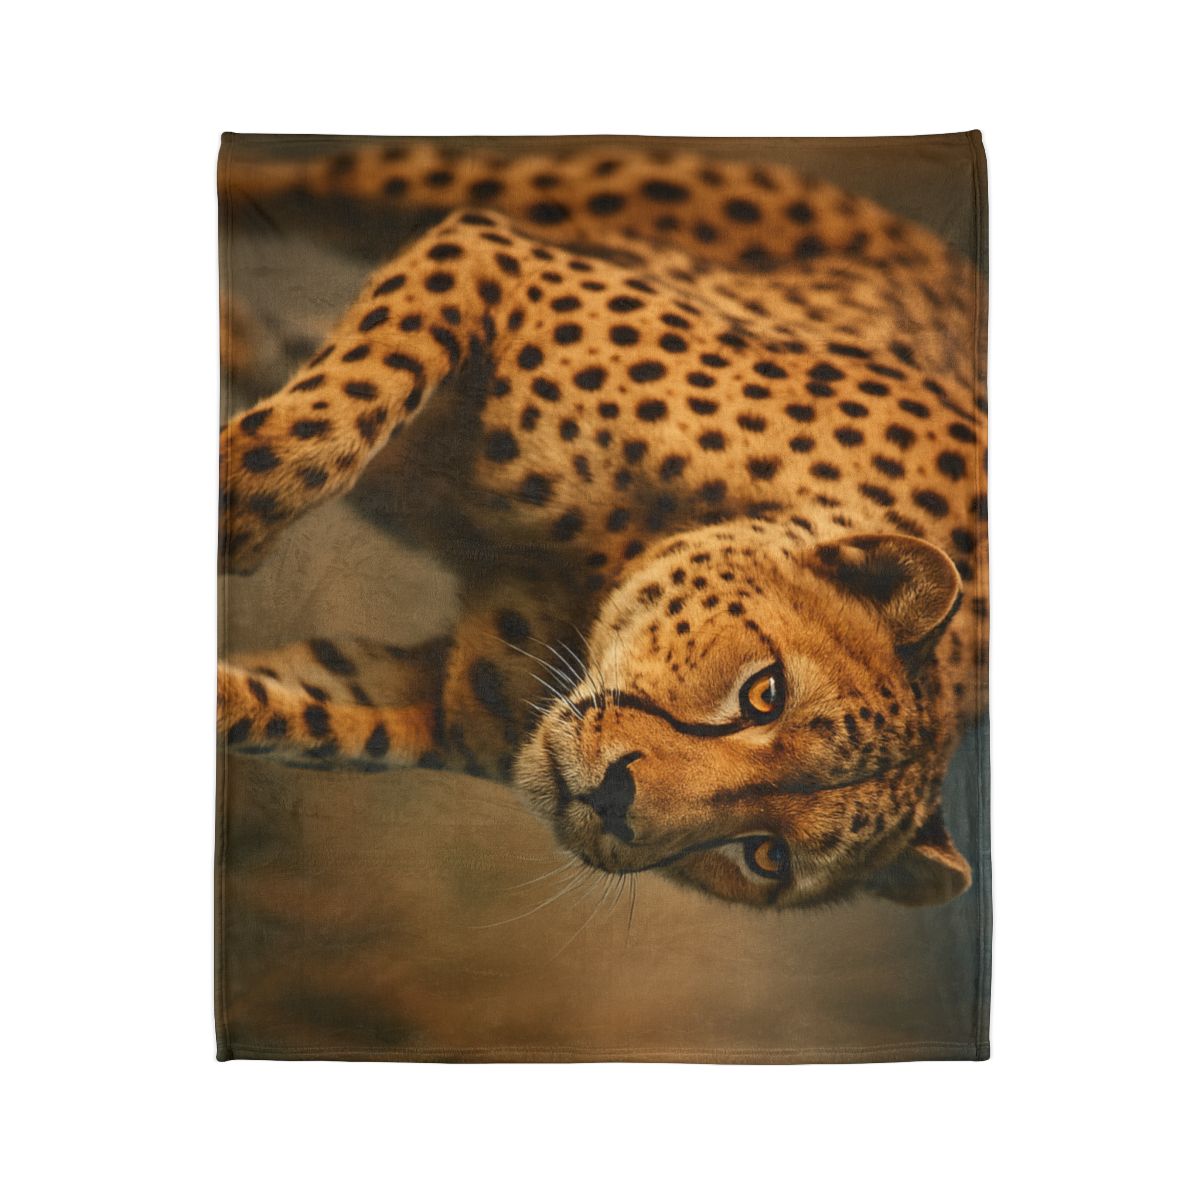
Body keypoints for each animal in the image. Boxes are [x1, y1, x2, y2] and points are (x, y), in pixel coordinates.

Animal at [217, 138, 987, 911]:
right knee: (300, 186)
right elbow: (346, 399)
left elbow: (283, 712)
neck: (601, 572)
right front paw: (234, 506)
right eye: (766, 692)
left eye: (767, 854)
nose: (616, 802)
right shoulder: (492, 254)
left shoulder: (429, 704)